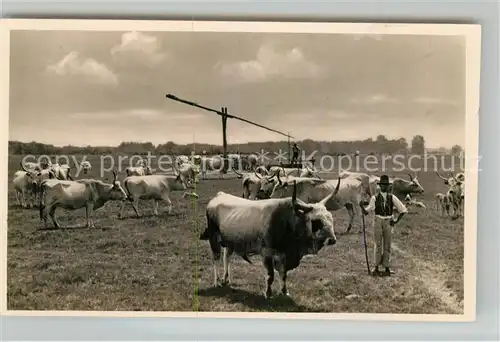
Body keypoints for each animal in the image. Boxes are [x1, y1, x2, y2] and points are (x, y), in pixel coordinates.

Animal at [199, 179, 340, 300]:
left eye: (331, 218)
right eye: (316, 221)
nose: (332, 240)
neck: (288, 221)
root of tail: (219, 195)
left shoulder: (283, 255)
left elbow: (283, 275)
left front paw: (284, 292)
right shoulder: (266, 253)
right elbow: (270, 275)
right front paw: (268, 293)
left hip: (230, 242)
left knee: (226, 257)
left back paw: (226, 279)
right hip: (214, 239)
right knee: (216, 259)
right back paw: (217, 282)